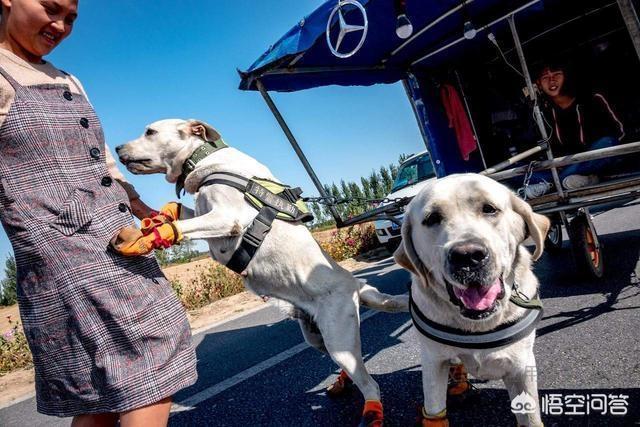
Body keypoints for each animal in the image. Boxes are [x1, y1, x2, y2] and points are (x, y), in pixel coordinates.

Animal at [115, 119, 410, 424]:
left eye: (150, 132)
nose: (117, 149)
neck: (206, 157)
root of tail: (355, 284)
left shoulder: (225, 219)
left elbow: (184, 226)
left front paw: (149, 235)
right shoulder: (205, 212)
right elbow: (180, 212)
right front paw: (159, 220)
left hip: (339, 339)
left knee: (370, 383)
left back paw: (372, 413)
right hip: (318, 338)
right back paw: (342, 383)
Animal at [396, 175, 552, 427]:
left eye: (489, 209)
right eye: (432, 219)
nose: (467, 256)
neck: (479, 325)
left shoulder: (522, 366)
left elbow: (529, 417)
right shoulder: (432, 363)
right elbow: (434, 408)